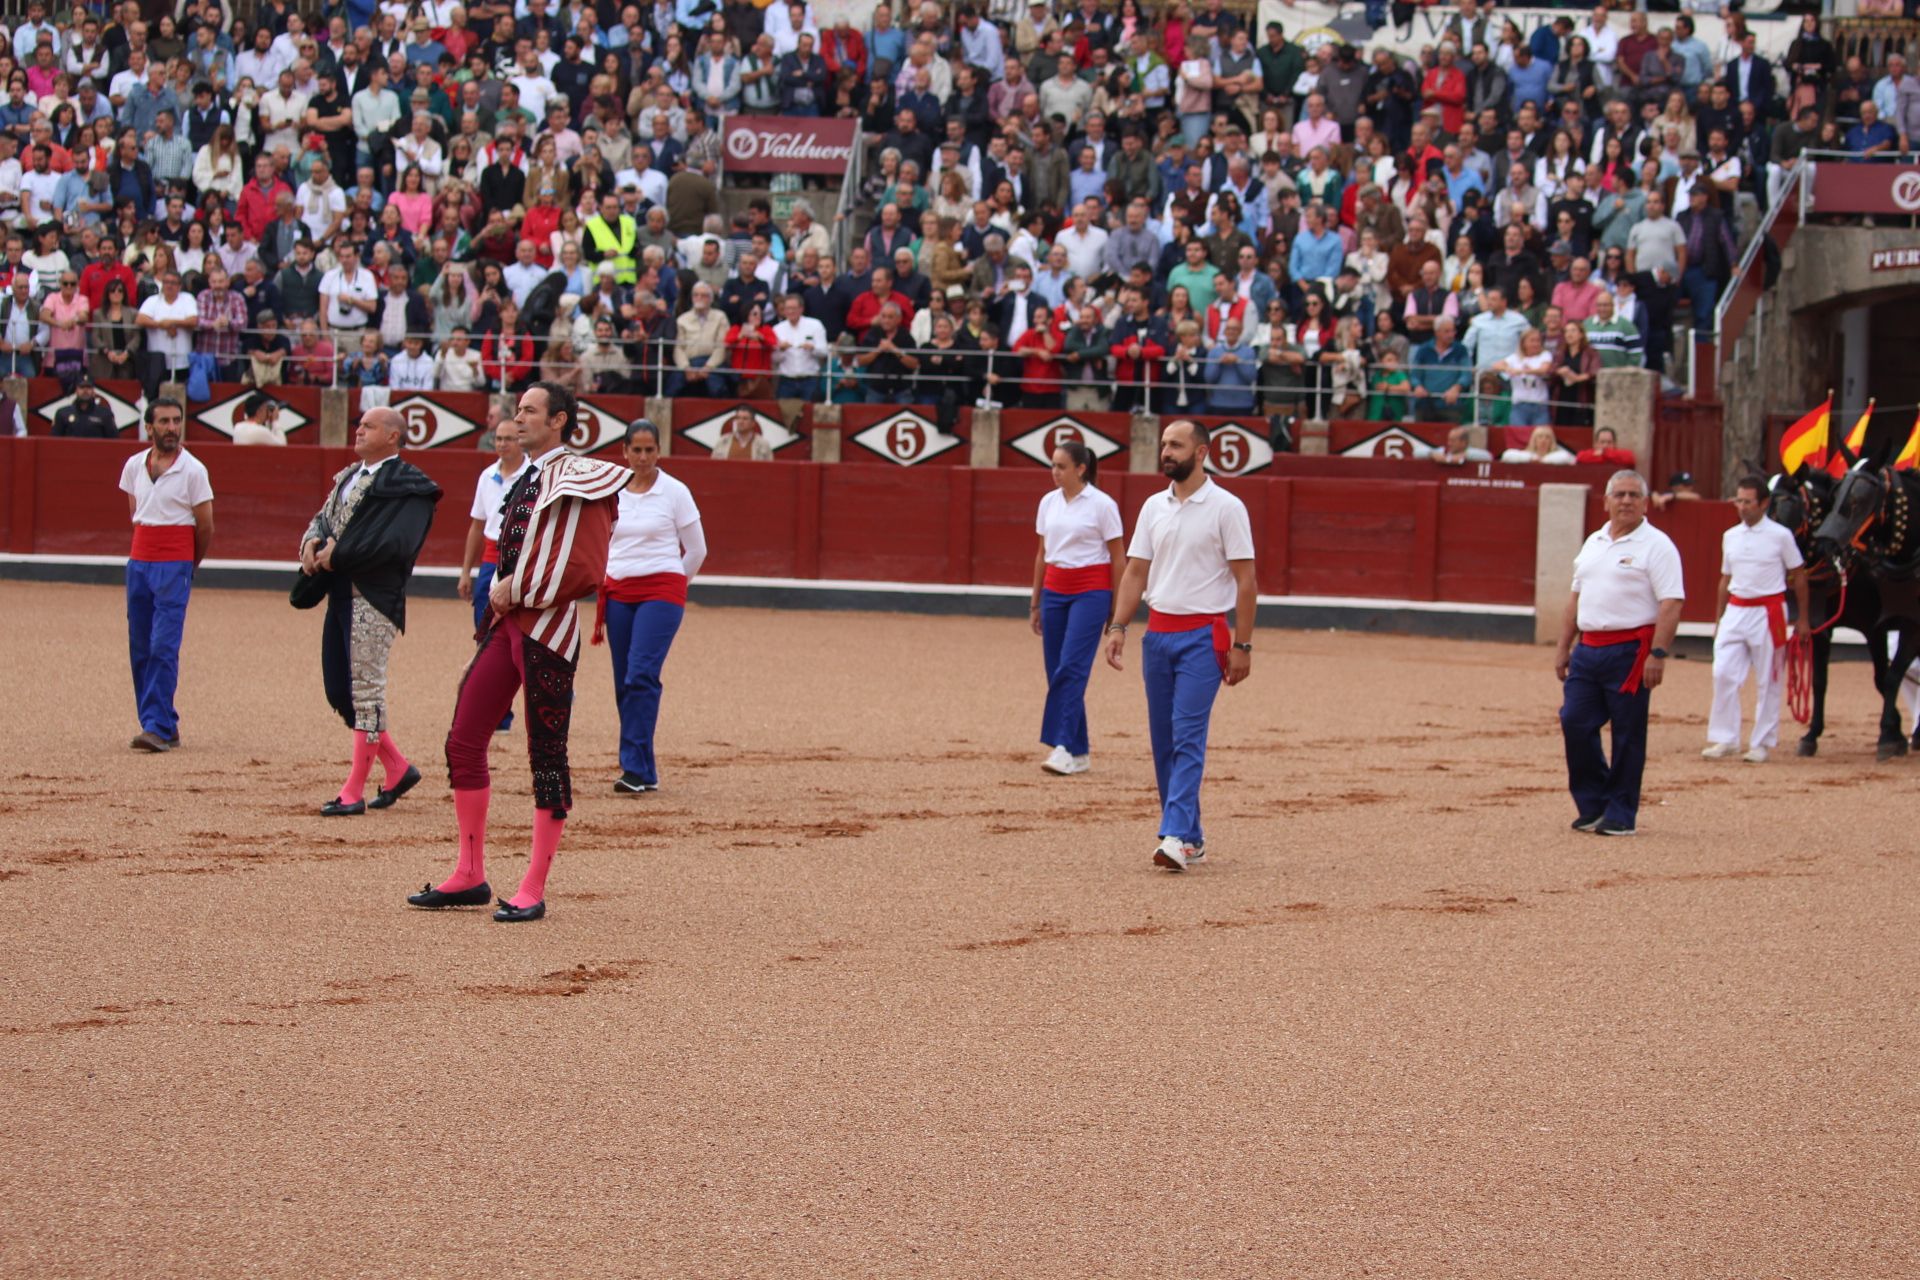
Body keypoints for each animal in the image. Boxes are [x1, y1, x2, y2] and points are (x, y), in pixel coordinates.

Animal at [1812, 460, 1920, 759]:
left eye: (1859, 500)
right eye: (1835, 494)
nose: (1826, 544)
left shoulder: (1904, 627)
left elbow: (1891, 676)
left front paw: (1889, 736)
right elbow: (1884, 677)